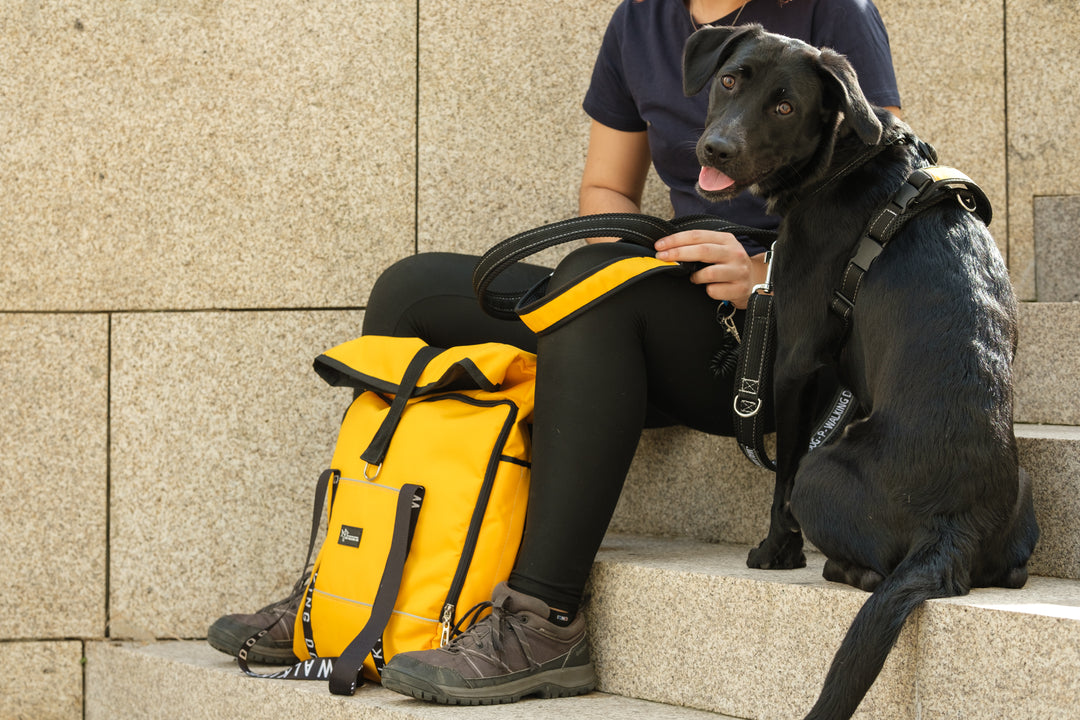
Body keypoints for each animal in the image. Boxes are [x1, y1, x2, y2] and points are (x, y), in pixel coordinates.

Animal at [682, 22, 1036, 720]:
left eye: (785, 106)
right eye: (731, 79)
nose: (717, 149)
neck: (847, 162)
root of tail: (951, 529)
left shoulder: (795, 356)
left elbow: (781, 473)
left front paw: (776, 553)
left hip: (823, 473)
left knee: (866, 561)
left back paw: (837, 567)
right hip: (1025, 497)